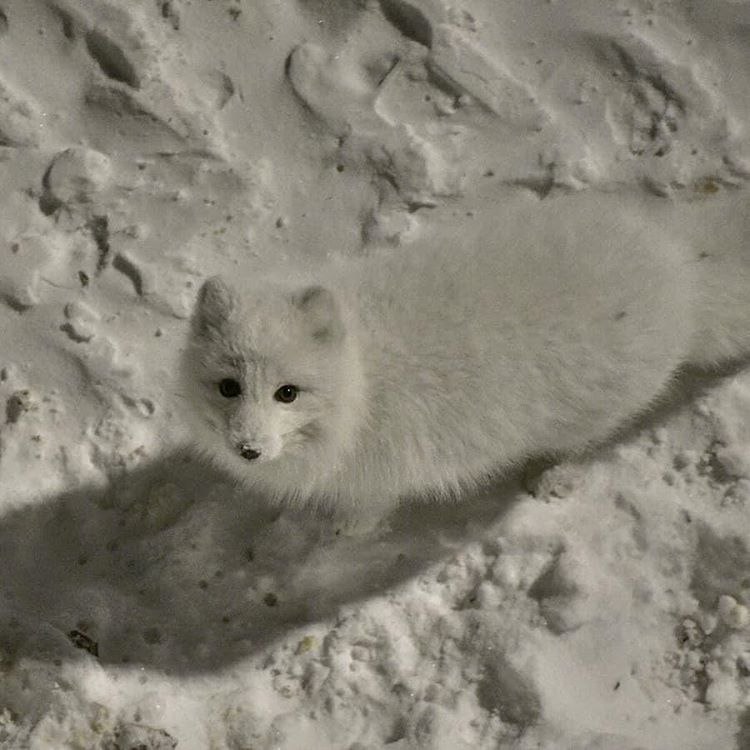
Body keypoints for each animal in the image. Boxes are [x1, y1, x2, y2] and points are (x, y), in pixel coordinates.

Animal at [182, 192, 750, 524]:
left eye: (288, 393)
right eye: (228, 387)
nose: (247, 449)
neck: (363, 377)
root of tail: (680, 264)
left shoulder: (379, 473)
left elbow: (365, 513)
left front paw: (335, 536)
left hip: (592, 411)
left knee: (588, 444)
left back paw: (552, 479)